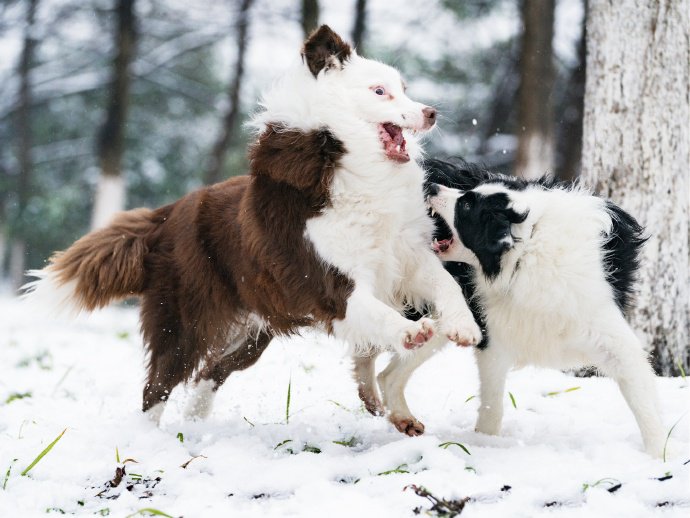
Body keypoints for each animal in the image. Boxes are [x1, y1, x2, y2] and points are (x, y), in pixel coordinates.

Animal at [416, 159, 664, 460]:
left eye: (465, 205)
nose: (431, 186)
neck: (529, 246)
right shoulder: (494, 339)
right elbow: (491, 403)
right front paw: (485, 443)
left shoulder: (614, 341)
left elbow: (645, 404)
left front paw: (660, 458)